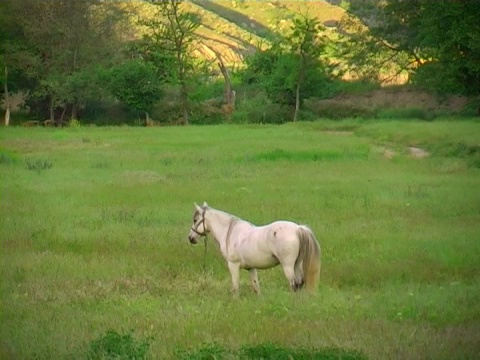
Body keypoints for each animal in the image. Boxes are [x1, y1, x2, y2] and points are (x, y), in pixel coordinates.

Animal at [189, 202, 320, 296]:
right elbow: (256, 286)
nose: (190, 238)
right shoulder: (251, 268)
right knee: (300, 283)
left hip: (288, 266)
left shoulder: (233, 265)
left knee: (294, 284)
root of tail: (298, 229)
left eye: (195, 220)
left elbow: (236, 287)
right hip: (297, 264)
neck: (230, 231)